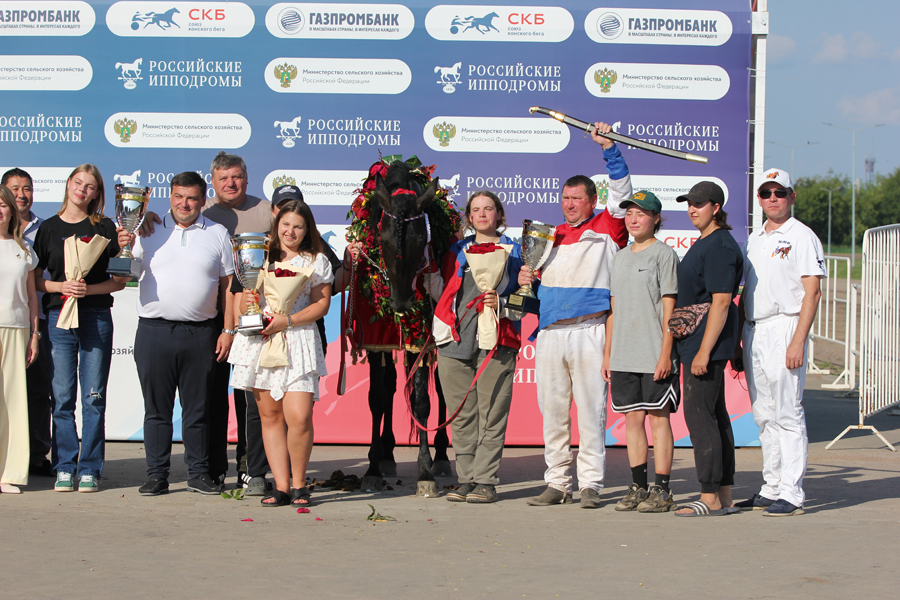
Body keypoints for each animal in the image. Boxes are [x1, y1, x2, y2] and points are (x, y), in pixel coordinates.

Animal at [350, 162, 453, 497]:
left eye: (421, 243)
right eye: (383, 241)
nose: (401, 303)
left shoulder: (420, 337)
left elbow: (422, 401)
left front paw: (425, 471)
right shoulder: (374, 339)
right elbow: (378, 397)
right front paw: (372, 467)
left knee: (441, 387)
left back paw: (442, 455)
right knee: (390, 385)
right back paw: (387, 454)